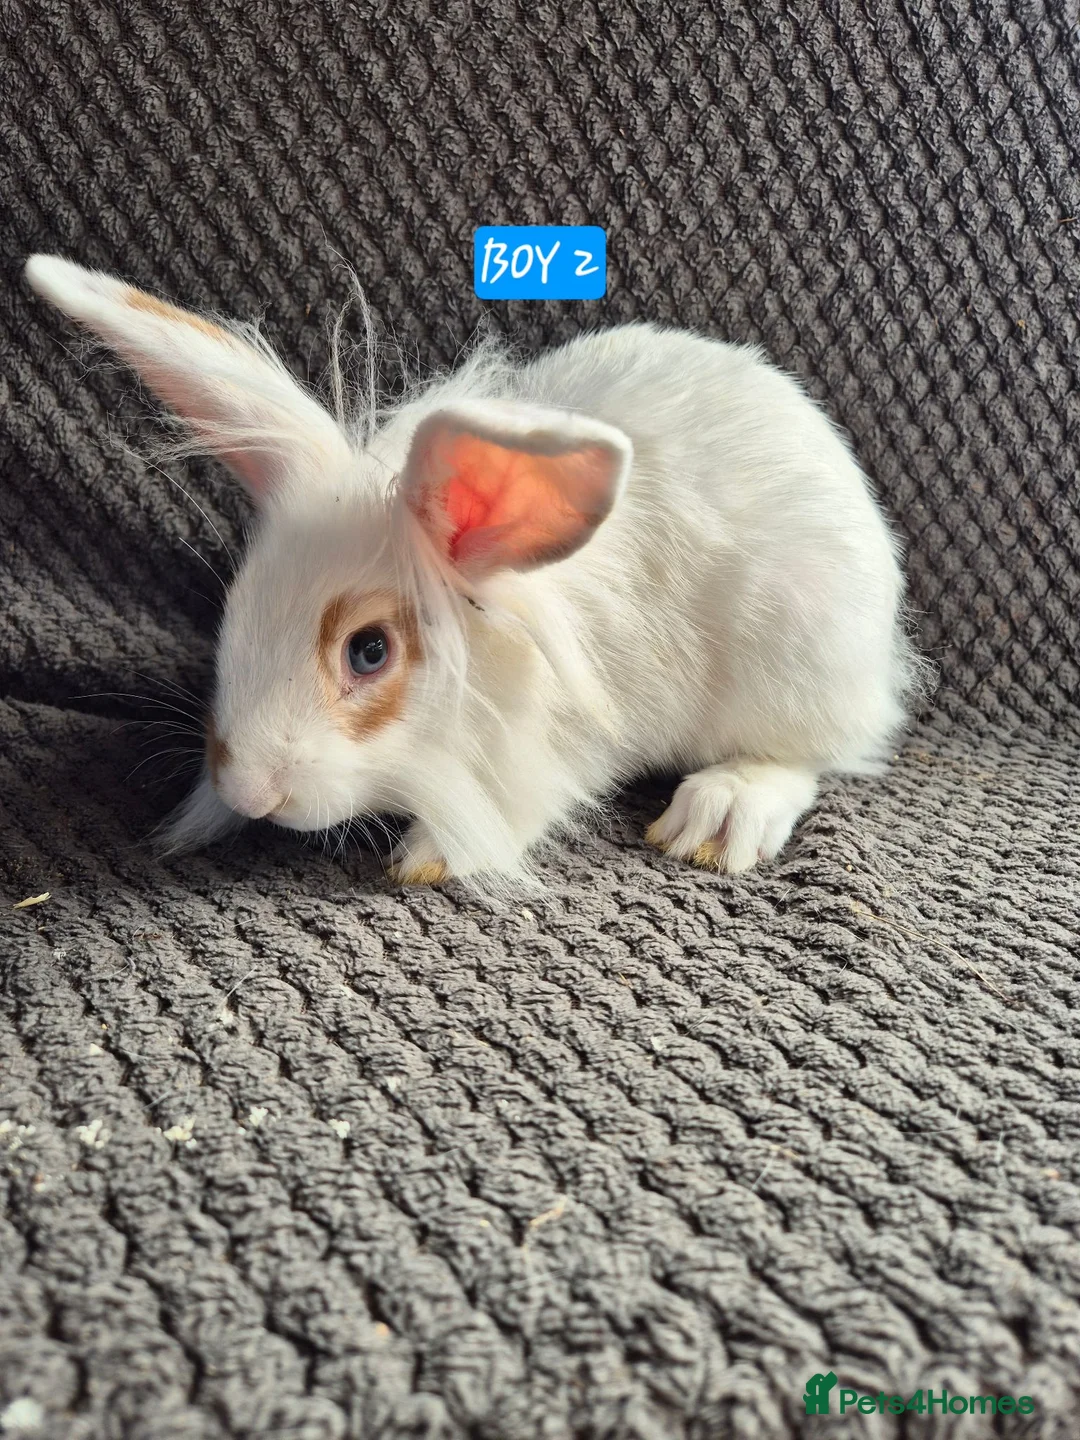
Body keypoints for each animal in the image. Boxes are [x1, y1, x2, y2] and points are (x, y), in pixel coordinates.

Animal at [24, 254, 927, 889]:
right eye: (234, 612)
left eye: (370, 652)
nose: (249, 792)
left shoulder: (567, 744)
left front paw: (433, 855)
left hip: (801, 659)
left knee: (812, 754)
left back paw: (719, 814)